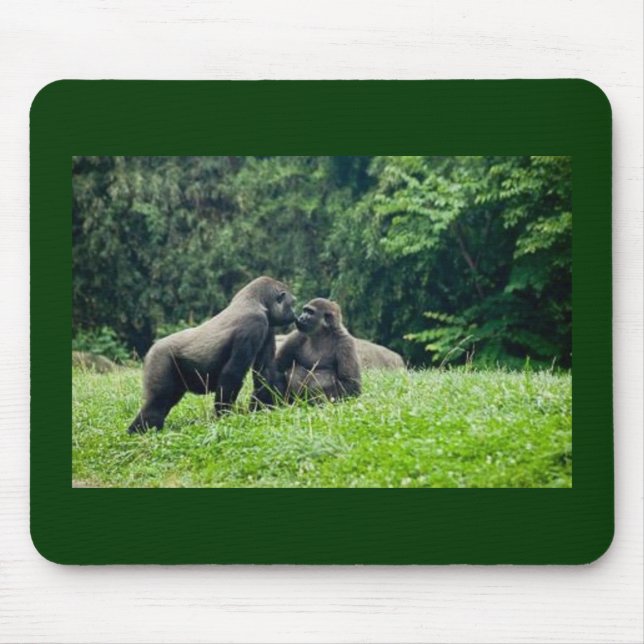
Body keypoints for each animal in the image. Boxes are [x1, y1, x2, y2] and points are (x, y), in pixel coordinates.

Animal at [127, 276, 296, 434]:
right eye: (292, 304)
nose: (294, 315)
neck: (255, 300)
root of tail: (151, 349)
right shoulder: (254, 324)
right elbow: (232, 374)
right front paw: (224, 417)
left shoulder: (267, 326)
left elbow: (265, 372)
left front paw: (263, 409)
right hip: (160, 358)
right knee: (157, 403)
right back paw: (139, 432)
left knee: (165, 402)